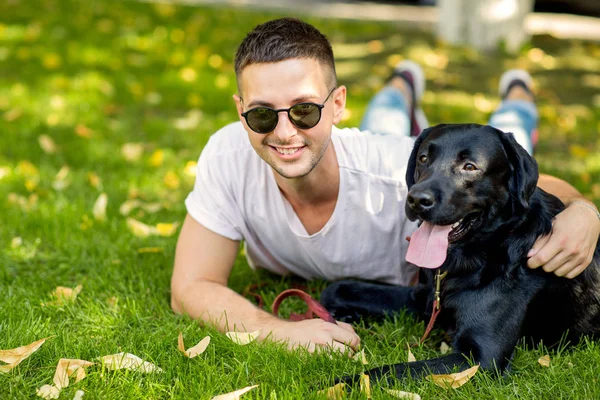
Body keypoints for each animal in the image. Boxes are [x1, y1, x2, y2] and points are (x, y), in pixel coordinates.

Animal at [322, 123, 600, 382]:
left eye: (470, 166)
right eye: (423, 158)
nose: (416, 199)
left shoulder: (481, 356)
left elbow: (389, 371)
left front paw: (340, 383)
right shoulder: (423, 298)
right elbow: (338, 288)